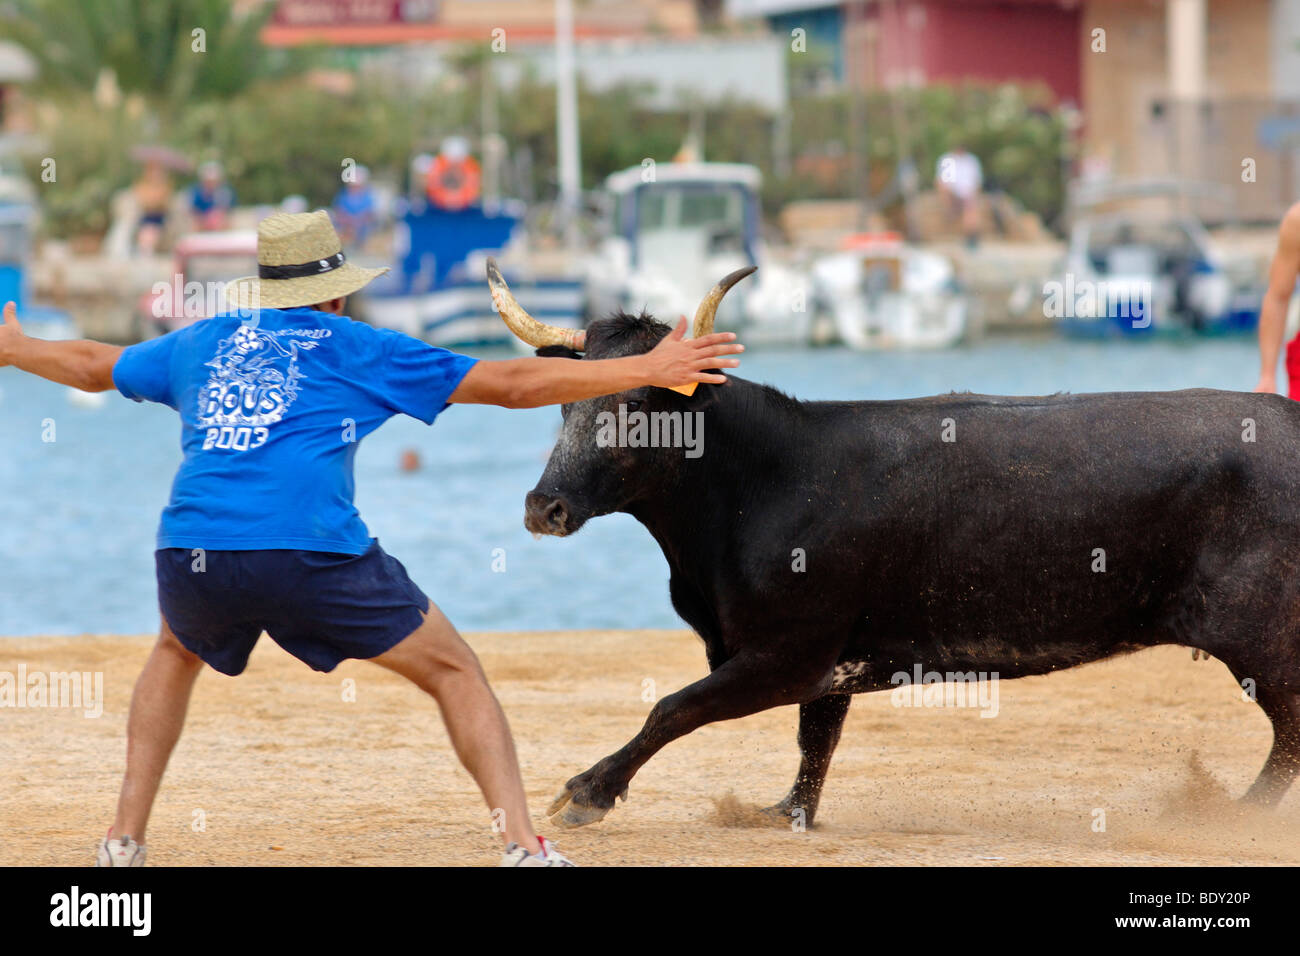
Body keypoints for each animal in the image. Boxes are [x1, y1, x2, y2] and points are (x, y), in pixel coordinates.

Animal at [520, 314, 1300, 832]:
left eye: (637, 404)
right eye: (564, 402)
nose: (543, 506)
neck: (764, 479)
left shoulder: (788, 654)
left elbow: (673, 708)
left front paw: (585, 792)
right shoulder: (826, 664)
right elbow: (815, 739)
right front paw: (787, 813)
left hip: (1261, 638)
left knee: (1289, 731)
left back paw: (1235, 817)